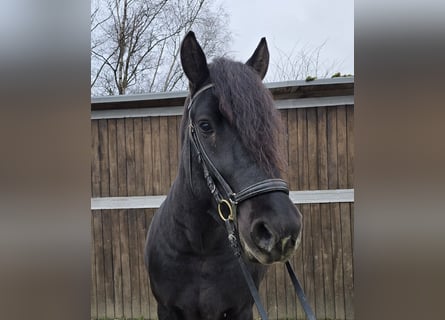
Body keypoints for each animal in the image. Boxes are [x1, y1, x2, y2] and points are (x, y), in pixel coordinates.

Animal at [145, 32, 302, 320]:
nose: (281, 229)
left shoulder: (241, 309)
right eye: (205, 125)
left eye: (268, 128)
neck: (200, 249)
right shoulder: (166, 309)